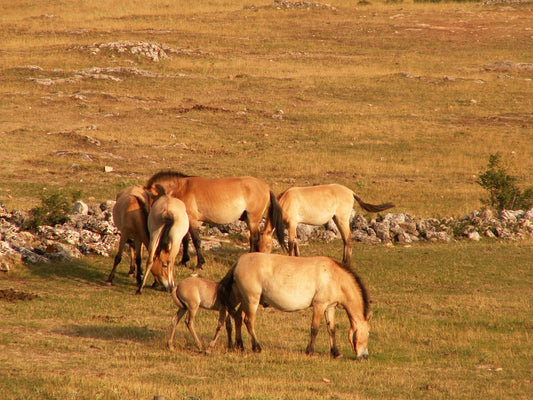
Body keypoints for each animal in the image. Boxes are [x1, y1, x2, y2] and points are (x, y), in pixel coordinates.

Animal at [144, 170, 286, 270]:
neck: (182, 188)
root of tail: (266, 187)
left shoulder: (193, 220)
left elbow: (196, 241)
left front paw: (199, 264)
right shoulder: (187, 220)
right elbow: (185, 240)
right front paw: (184, 261)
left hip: (252, 220)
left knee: (254, 238)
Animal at [218, 253, 372, 360]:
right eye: (369, 333)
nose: (364, 356)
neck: (334, 276)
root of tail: (239, 261)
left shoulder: (329, 307)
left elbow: (331, 330)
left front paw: (336, 353)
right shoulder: (319, 305)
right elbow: (315, 328)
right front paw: (310, 351)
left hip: (243, 299)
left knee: (238, 317)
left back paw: (240, 345)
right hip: (252, 300)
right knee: (248, 321)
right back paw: (257, 347)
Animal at [260, 184, 392, 266]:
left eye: (268, 246)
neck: (285, 200)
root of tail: (351, 192)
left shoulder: (292, 224)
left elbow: (291, 242)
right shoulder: (293, 225)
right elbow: (296, 241)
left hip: (342, 219)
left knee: (349, 238)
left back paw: (346, 264)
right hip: (337, 219)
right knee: (345, 239)